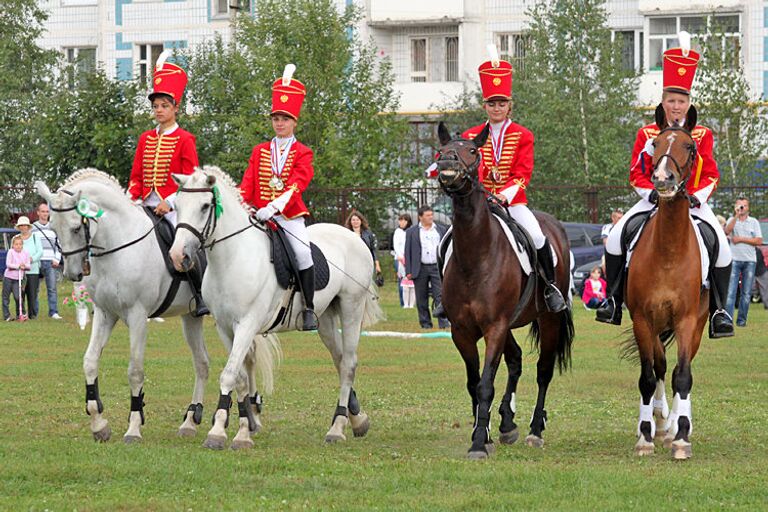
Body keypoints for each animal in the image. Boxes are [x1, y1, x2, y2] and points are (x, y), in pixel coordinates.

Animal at [37, 170, 274, 442]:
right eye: (53, 227)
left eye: (76, 227)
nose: (72, 273)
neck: (120, 242)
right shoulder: (105, 314)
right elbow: (90, 361)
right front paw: (99, 424)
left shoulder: (137, 315)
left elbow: (135, 370)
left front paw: (133, 427)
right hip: (191, 318)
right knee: (203, 363)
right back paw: (192, 420)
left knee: (246, 358)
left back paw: (252, 417)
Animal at [170, 168, 382, 448]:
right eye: (177, 205)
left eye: (205, 206)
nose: (178, 256)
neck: (232, 258)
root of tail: (353, 237)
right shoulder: (225, 327)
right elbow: (239, 376)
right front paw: (240, 428)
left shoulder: (247, 324)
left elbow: (229, 374)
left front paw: (219, 433)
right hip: (324, 319)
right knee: (338, 360)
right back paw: (356, 419)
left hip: (351, 308)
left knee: (348, 364)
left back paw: (337, 427)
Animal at [436, 123, 572, 460]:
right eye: (440, 150)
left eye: (473, 151)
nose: (446, 169)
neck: (476, 255)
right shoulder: (462, 330)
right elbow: (474, 383)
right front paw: (482, 433)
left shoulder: (495, 327)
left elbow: (486, 383)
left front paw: (477, 443)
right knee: (516, 360)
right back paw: (507, 423)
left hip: (548, 320)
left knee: (543, 370)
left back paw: (535, 430)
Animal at [624, 124, 708, 460]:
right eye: (655, 144)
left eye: (690, 146)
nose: (662, 178)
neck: (669, 252)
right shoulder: (642, 319)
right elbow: (648, 376)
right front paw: (646, 436)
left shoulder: (687, 320)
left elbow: (682, 375)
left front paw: (682, 437)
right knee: (659, 366)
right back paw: (657, 423)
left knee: (677, 371)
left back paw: (675, 425)